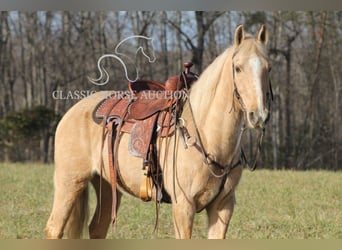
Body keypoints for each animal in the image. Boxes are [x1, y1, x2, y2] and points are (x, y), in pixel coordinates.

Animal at [45, 24, 272, 238]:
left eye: (268, 68)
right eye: (238, 68)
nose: (258, 115)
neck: (207, 136)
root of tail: (71, 112)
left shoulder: (223, 206)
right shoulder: (183, 207)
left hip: (107, 187)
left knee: (97, 229)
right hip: (69, 184)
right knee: (54, 228)